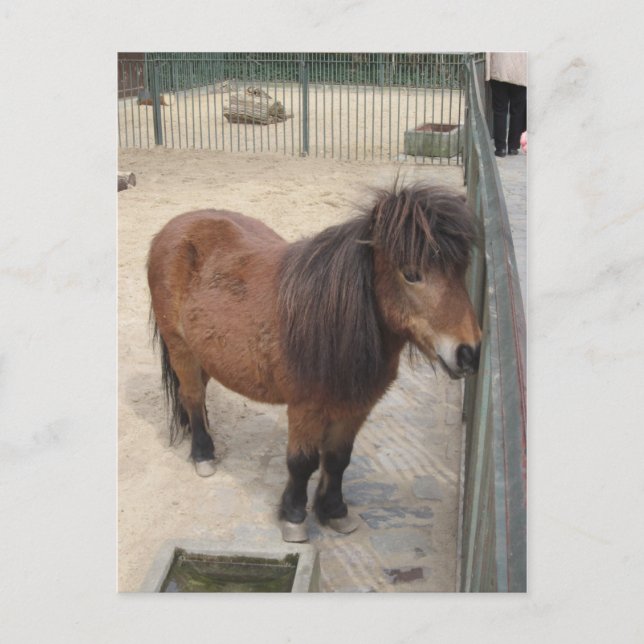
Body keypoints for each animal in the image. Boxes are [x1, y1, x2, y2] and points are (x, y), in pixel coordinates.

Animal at [147, 182, 482, 542]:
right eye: (411, 274)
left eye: (462, 269)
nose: (469, 352)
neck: (329, 324)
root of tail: (174, 227)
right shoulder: (305, 408)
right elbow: (302, 462)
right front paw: (294, 517)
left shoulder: (355, 407)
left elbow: (337, 459)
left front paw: (334, 510)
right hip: (181, 347)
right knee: (192, 396)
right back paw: (203, 453)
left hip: (205, 353)